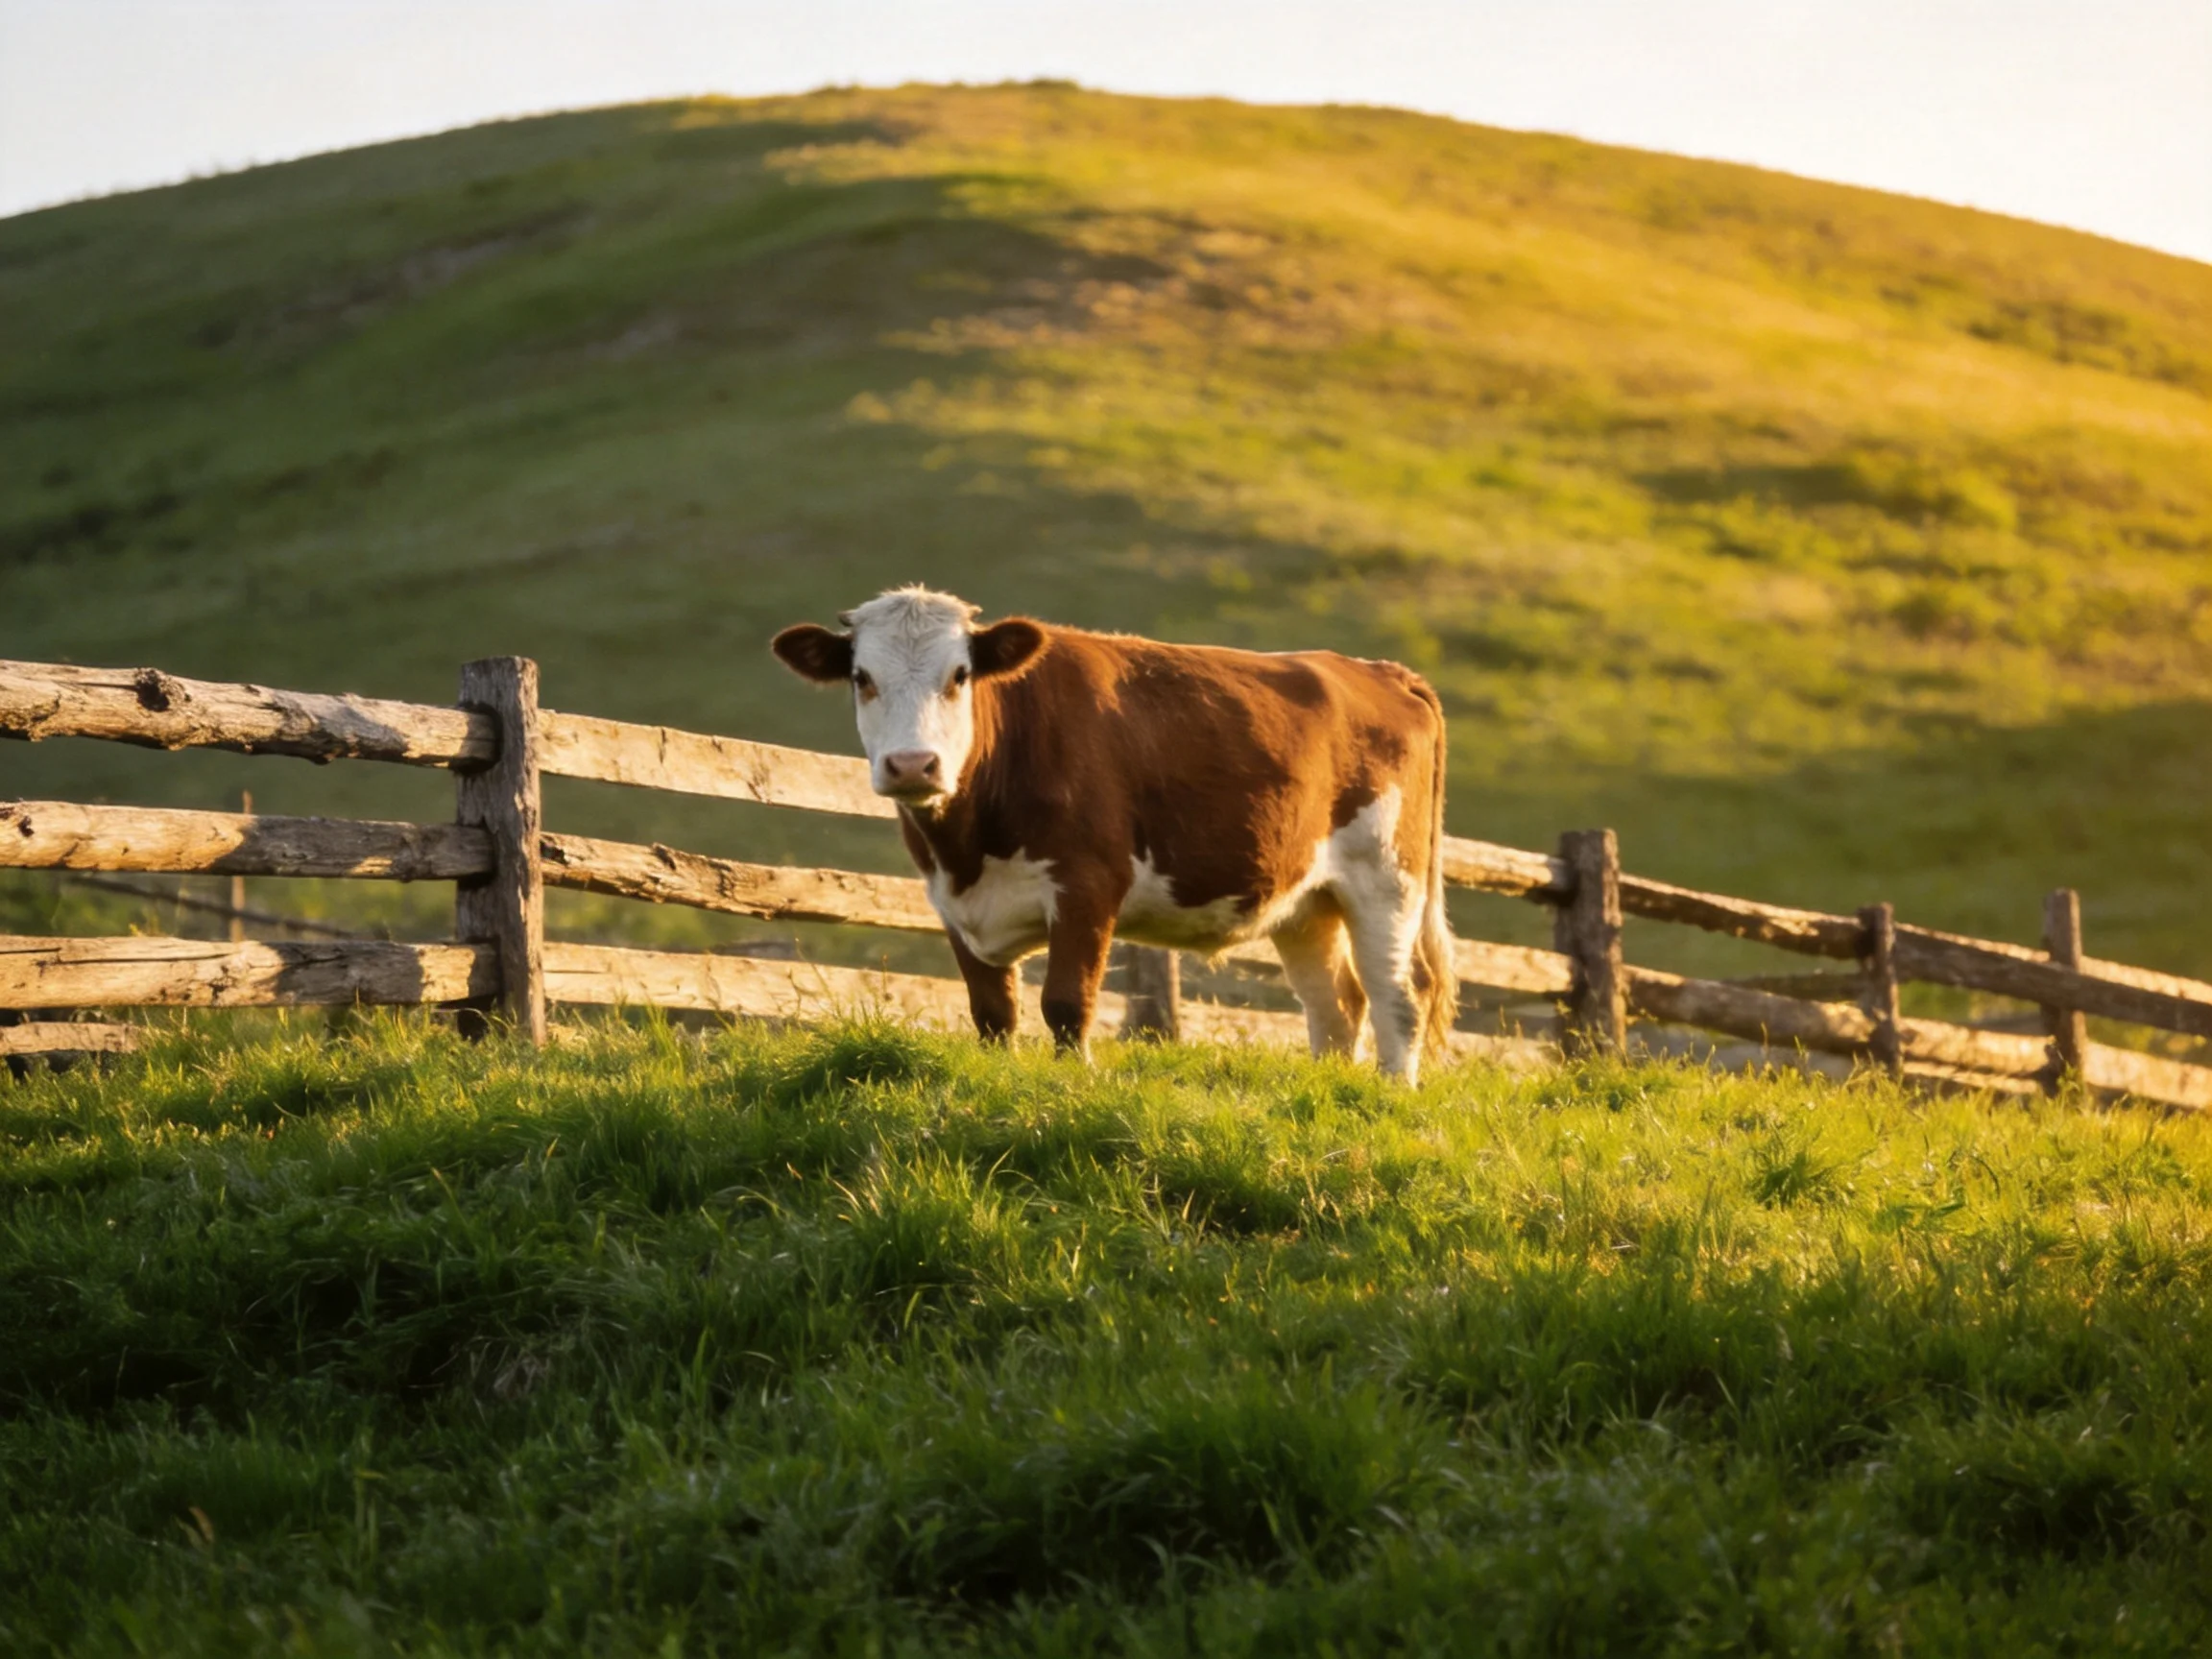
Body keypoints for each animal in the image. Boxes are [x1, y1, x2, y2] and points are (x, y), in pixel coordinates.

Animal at [771, 587, 1457, 1082]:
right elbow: (992, 1013)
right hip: (1307, 899)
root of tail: (1379, 671)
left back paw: (1393, 1092)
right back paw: (1329, 1087)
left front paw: (1071, 1083)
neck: (967, 846)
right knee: (1335, 1001)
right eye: (862, 677)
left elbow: (1066, 1002)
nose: (913, 764)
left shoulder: (1088, 884)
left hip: (1387, 878)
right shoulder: (953, 903)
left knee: (1400, 991)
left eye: (960, 675)